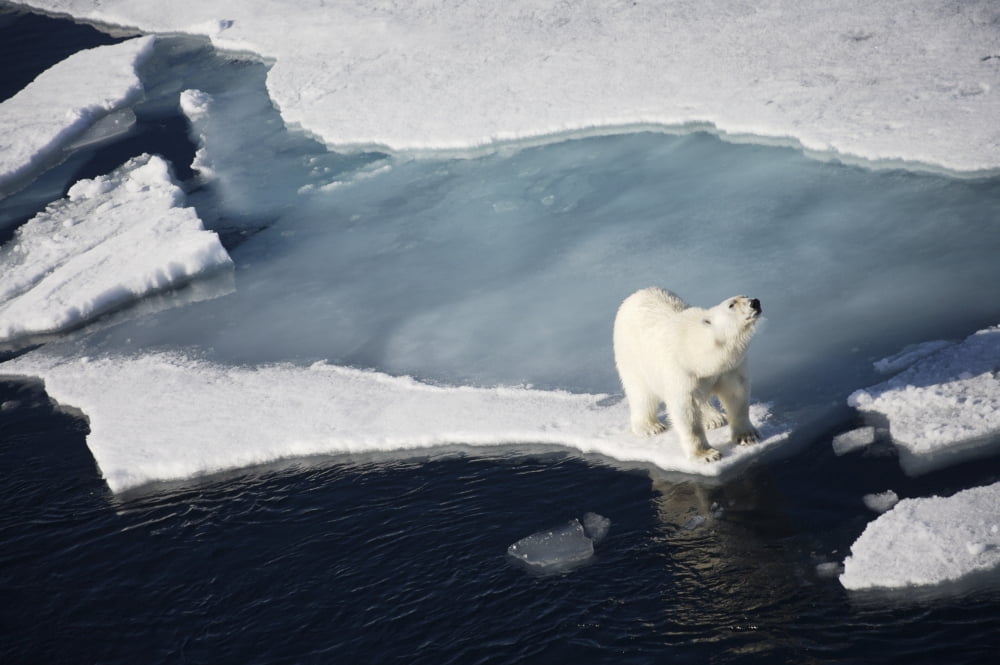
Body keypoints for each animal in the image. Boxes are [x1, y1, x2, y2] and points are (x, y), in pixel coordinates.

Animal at [612, 287, 762, 462]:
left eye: (746, 295)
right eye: (731, 305)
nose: (755, 302)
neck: (699, 356)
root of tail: (636, 294)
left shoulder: (729, 368)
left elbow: (736, 395)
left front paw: (747, 436)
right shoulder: (680, 370)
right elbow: (686, 409)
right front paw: (707, 454)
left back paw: (714, 418)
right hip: (630, 355)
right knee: (640, 393)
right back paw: (650, 427)